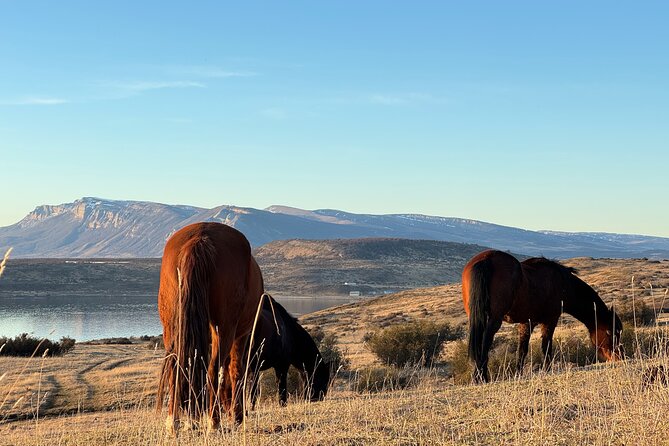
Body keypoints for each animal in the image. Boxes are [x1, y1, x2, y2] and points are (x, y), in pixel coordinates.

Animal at [156, 222, 264, 431]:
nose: (228, 409)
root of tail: (200, 238)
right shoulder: (241, 336)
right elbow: (235, 370)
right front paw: (238, 416)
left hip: (172, 327)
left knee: (177, 366)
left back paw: (174, 422)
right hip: (225, 329)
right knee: (214, 368)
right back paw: (213, 421)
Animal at [462, 249, 623, 383]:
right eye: (610, 332)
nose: (619, 357)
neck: (563, 284)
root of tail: (486, 258)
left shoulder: (526, 323)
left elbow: (522, 350)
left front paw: (518, 374)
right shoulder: (549, 320)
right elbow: (546, 347)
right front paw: (547, 370)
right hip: (494, 320)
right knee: (485, 342)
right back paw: (481, 376)